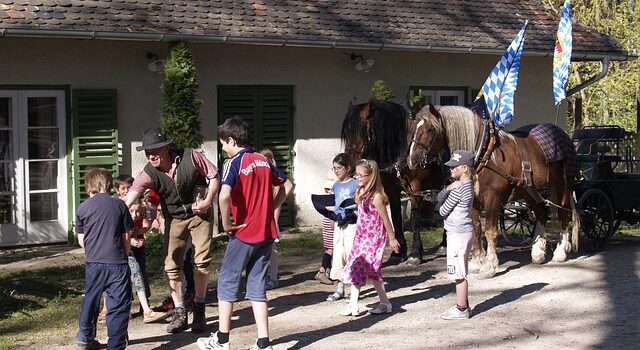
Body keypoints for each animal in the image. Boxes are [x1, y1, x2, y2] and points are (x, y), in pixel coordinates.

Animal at [340, 100, 444, 264]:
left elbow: (415, 218)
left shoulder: (415, 189)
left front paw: (415, 253)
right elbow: (395, 217)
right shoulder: (391, 190)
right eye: (346, 132)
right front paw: (399, 252)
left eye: (360, 130)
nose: (348, 165)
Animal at [410, 104, 580, 278]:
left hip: (562, 184)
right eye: (413, 128)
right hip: (530, 191)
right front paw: (476, 262)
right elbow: (477, 229)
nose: (412, 160)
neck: (486, 154)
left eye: (430, 129)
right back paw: (538, 252)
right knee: (541, 212)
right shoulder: (474, 200)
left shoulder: (493, 199)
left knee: (563, 213)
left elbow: (490, 231)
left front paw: (489, 266)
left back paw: (560, 252)